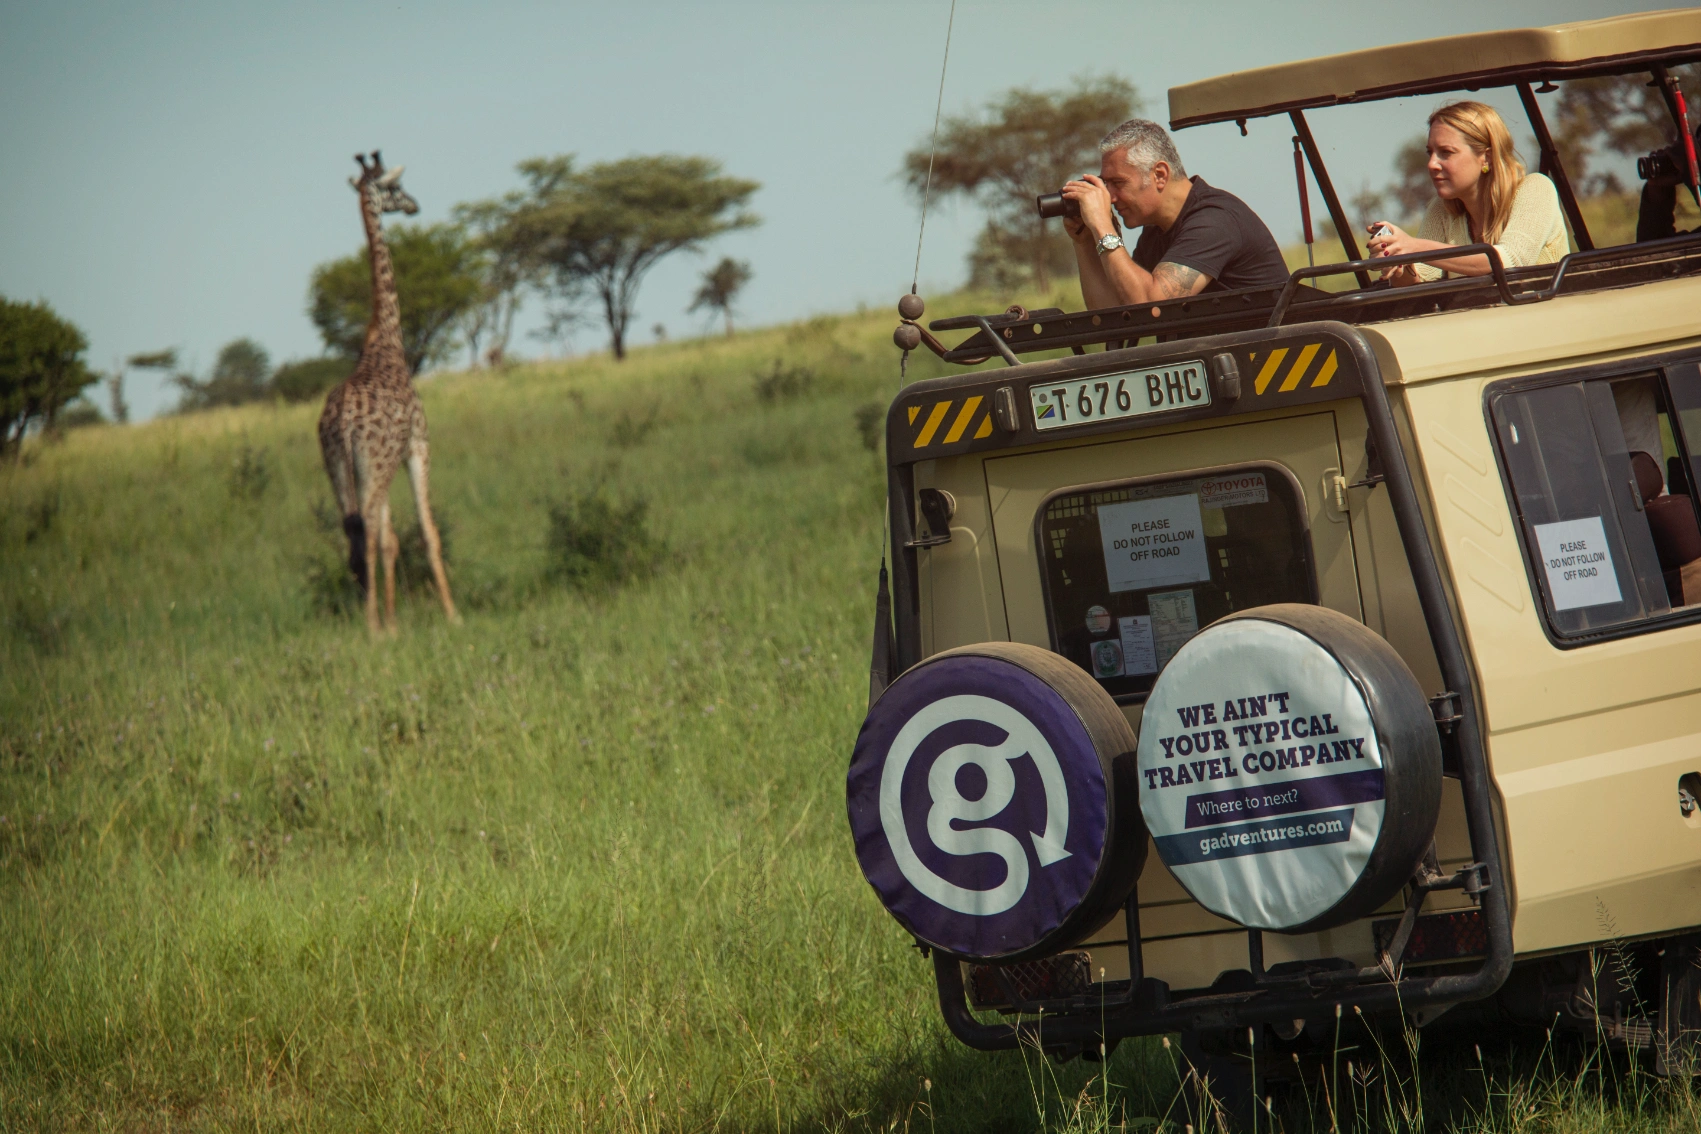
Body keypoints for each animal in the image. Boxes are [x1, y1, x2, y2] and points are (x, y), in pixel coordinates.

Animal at [318, 151, 459, 633]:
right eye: (395, 188)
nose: (413, 205)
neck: (387, 340)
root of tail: (342, 423)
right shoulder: (417, 445)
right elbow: (426, 532)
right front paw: (453, 615)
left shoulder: (387, 461)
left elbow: (392, 539)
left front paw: (396, 618)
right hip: (373, 466)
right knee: (368, 530)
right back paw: (376, 627)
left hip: (338, 467)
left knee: (354, 532)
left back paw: (374, 622)